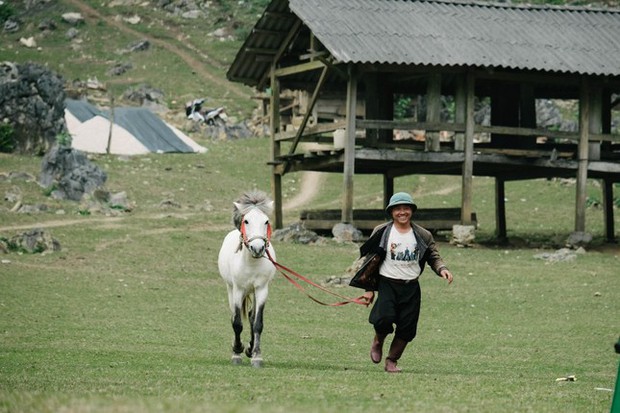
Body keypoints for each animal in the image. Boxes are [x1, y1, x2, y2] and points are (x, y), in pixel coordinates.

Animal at [218, 190, 276, 366]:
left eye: (266, 221)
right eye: (246, 221)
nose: (257, 248)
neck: (252, 263)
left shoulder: (262, 290)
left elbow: (257, 323)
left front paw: (256, 355)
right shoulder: (238, 289)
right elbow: (237, 323)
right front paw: (237, 352)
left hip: (253, 292)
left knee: (251, 316)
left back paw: (250, 349)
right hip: (231, 289)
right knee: (233, 316)